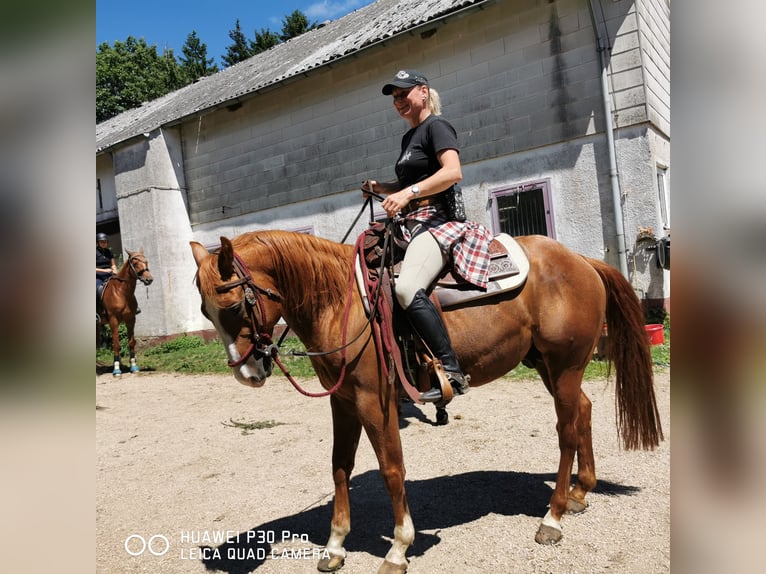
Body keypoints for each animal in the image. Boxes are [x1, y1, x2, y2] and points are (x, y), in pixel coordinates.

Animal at [190, 230, 663, 574]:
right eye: (205, 310)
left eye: (235, 305)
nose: (247, 374)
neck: (342, 303)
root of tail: (580, 260)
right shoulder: (342, 402)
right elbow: (340, 467)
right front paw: (336, 545)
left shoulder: (375, 402)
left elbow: (391, 470)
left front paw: (398, 548)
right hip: (550, 367)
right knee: (583, 412)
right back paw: (581, 491)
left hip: (563, 367)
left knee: (566, 430)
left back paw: (554, 516)